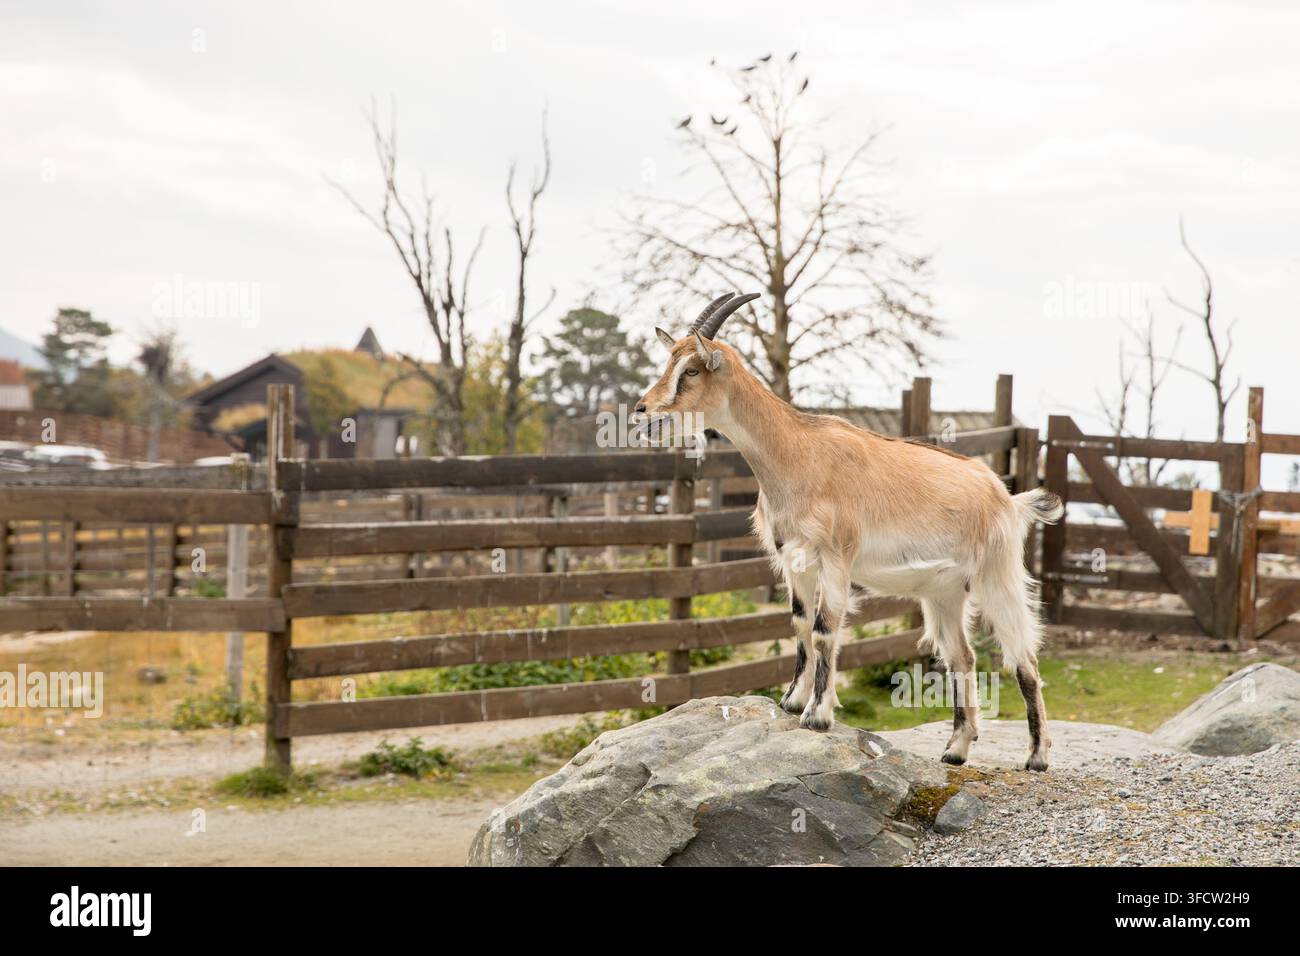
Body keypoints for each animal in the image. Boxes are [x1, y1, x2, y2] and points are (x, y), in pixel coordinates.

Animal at [634, 292, 1064, 771]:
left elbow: (825, 628)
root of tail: (1006, 498)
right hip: (944, 593)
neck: (798, 453)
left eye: (691, 370)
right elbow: (800, 624)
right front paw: (791, 701)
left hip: (997, 576)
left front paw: (817, 715)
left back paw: (1037, 757)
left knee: (1024, 656)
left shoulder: (836, 557)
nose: (642, 412)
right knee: (961, 658)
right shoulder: (794, 560)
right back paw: (955, 749)